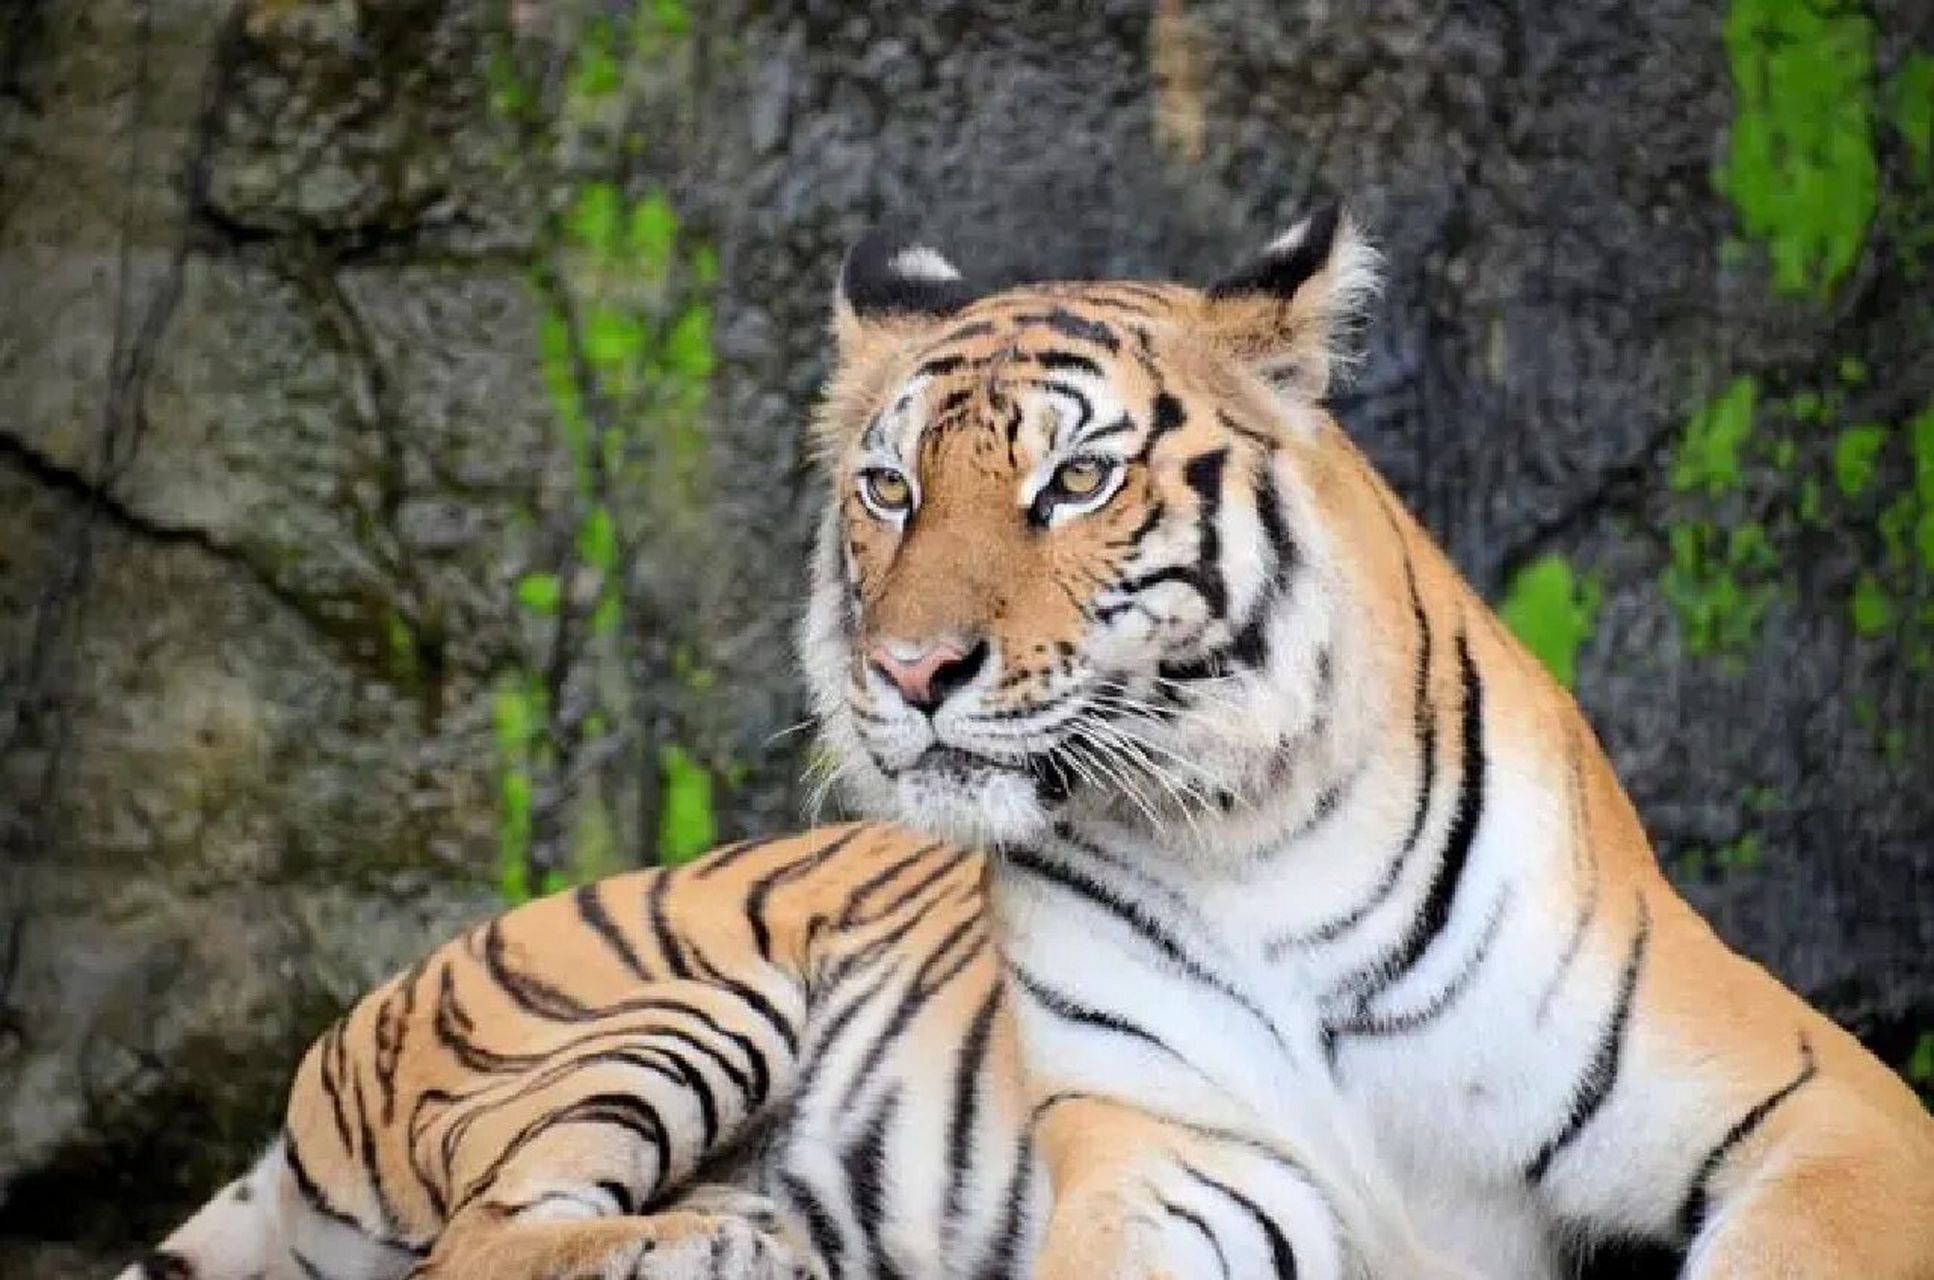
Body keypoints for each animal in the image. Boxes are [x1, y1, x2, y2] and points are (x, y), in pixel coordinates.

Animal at [121, 207, 1934, 1280]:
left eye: (1074, 480)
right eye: (887, 487)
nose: (910, 669)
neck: (1252, 833)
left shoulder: (1823, 1113)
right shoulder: (1175, 1163)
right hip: (656, 1009)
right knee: (486, 1244)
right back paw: (733, 1244)